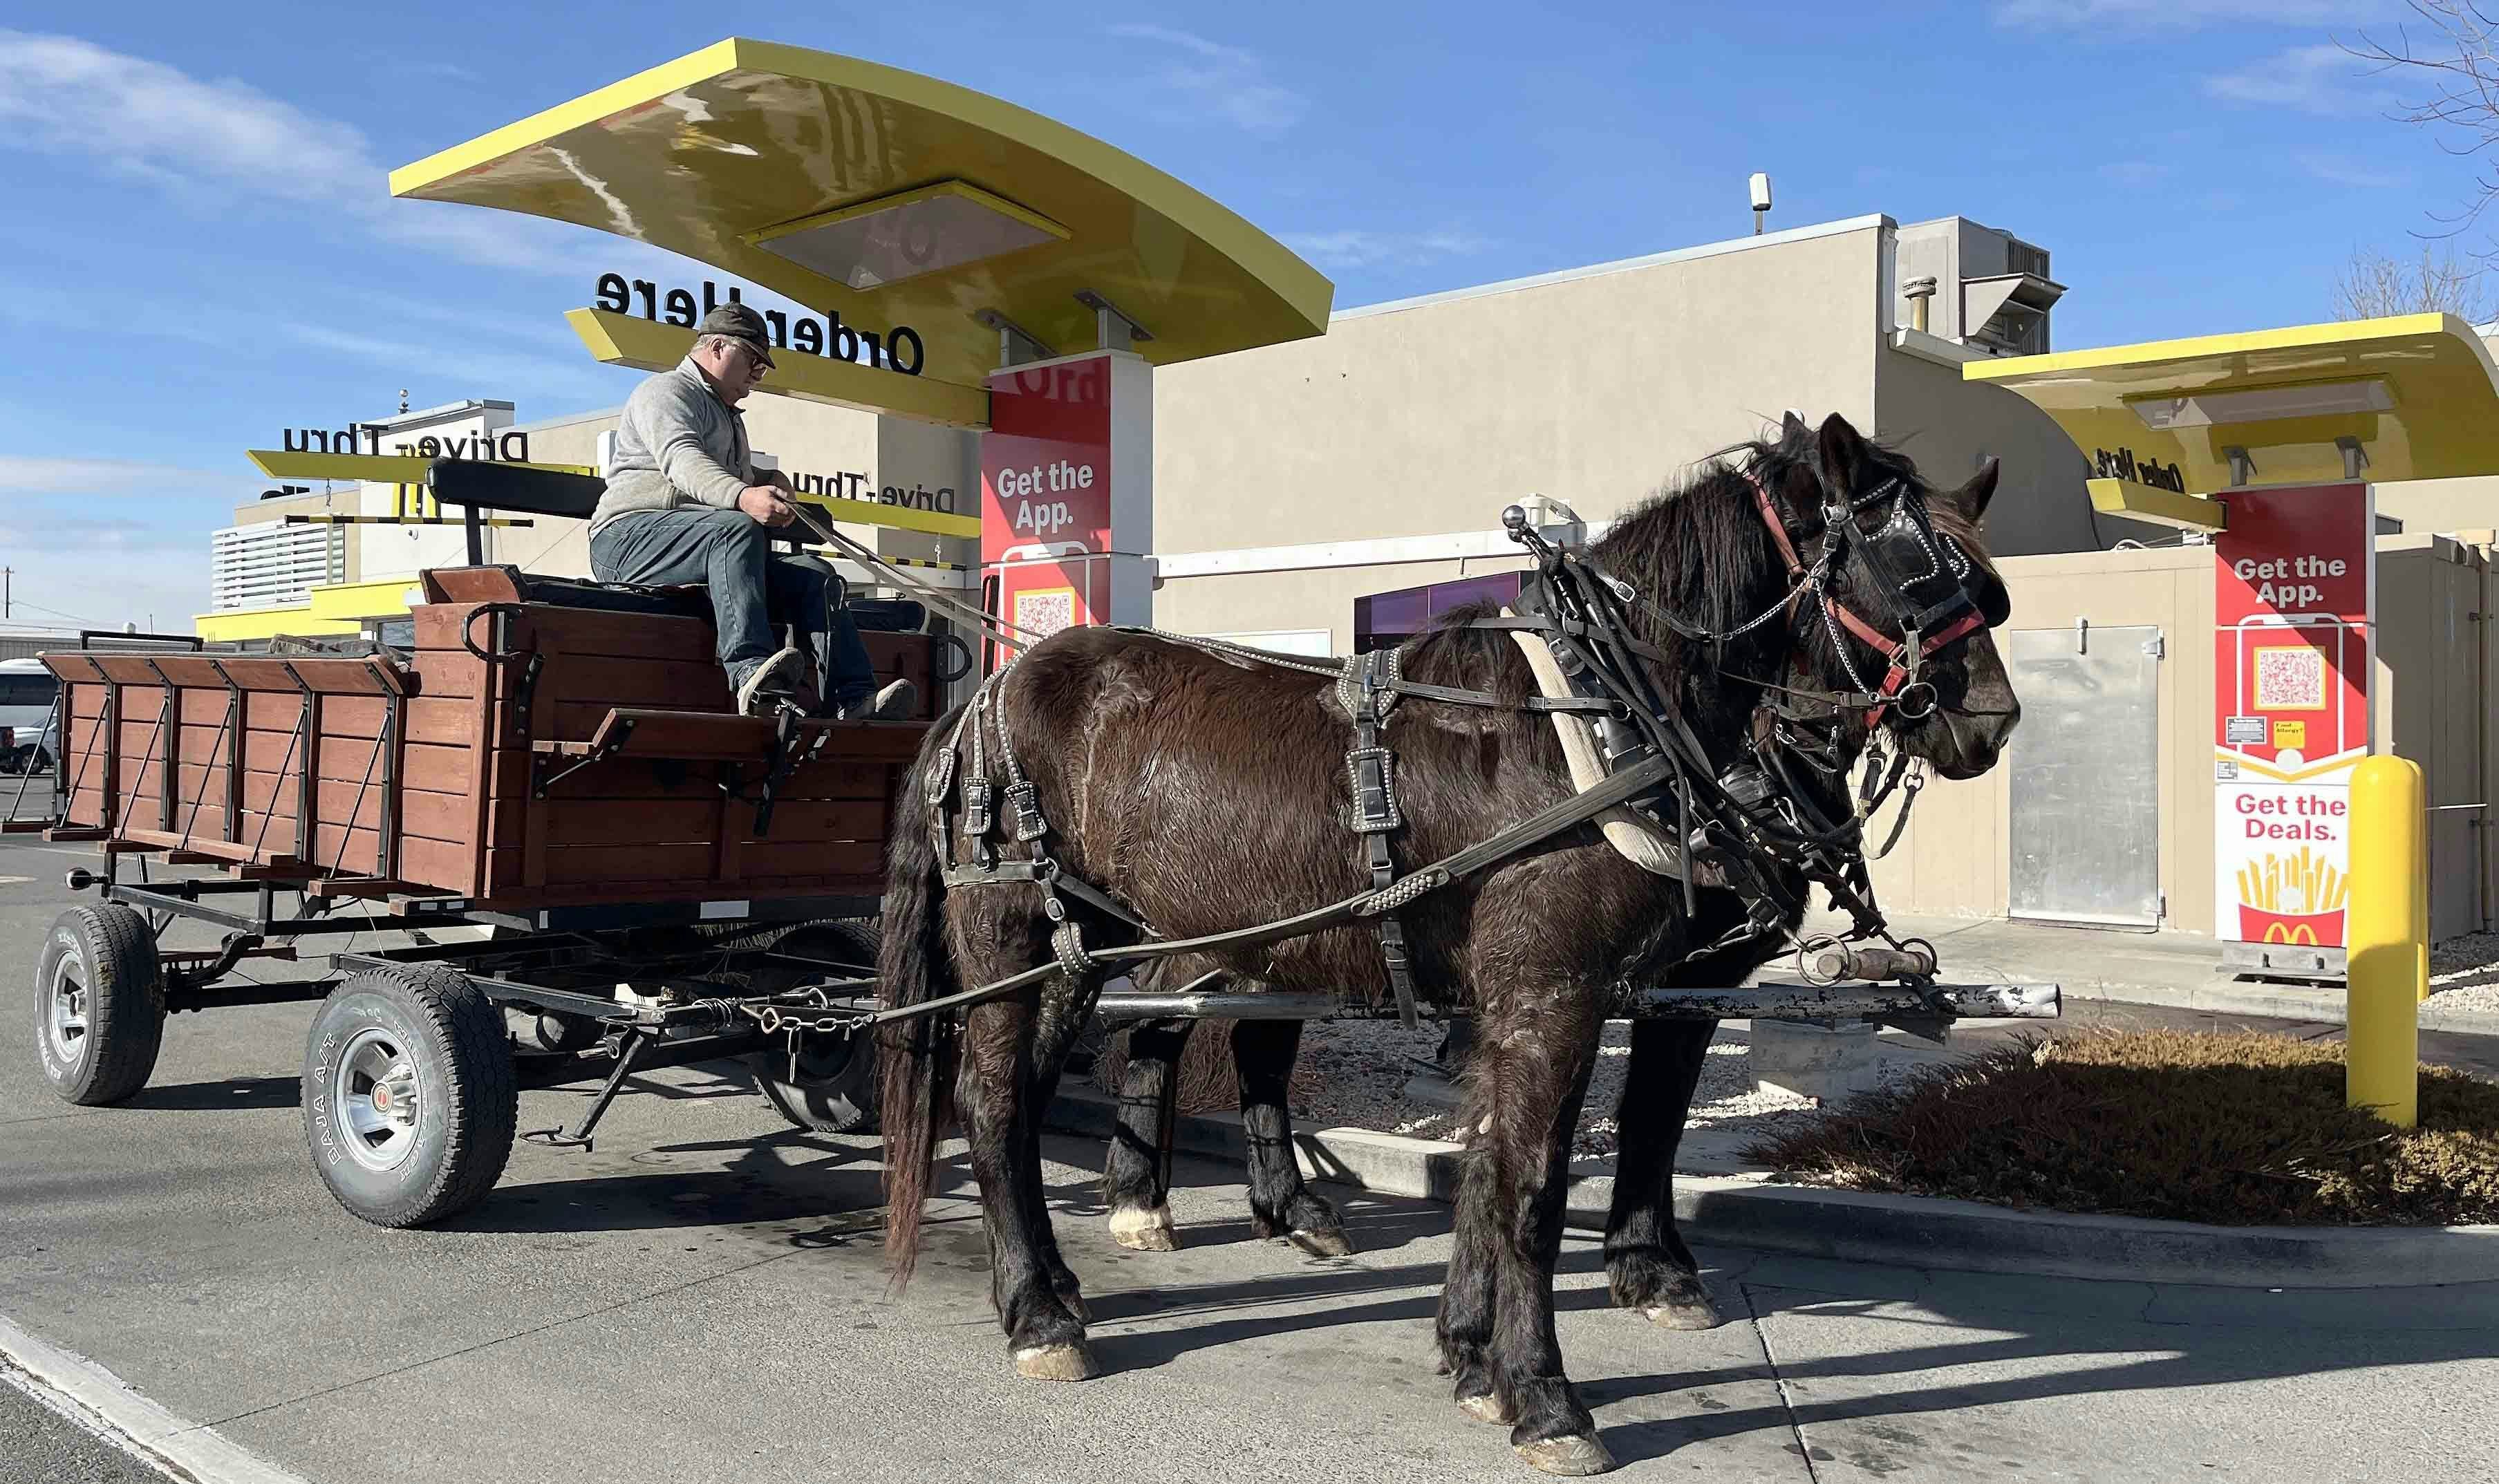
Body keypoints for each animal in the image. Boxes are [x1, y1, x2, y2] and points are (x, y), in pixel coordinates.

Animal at [878, 411, 2019, 1476]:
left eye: (1989, 586)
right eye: (1914, 568)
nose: (1991, 722)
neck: (1609, 712)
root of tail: (983, 696)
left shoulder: (1600, 993)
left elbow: (1536, 1152)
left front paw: (1477, 1353)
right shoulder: (1554, 994)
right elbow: (1530, 1185)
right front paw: (1543, 1394)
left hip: (1092, 945)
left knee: (1056, 1080)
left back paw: (1072, 1275)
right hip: (1015, 932)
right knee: (994, 1094)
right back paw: (1039, 1310)